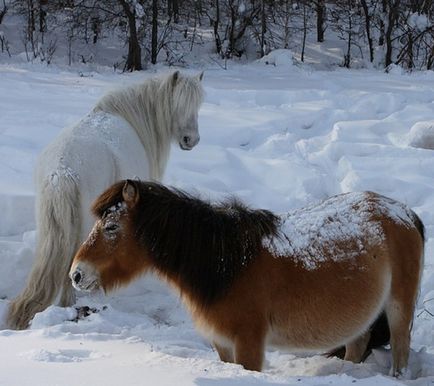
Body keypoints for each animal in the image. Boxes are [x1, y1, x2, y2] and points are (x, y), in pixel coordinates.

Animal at [69, 181, 426, 376]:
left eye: (111, 227)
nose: (76, 274)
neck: (227, 264)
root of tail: (406, 213)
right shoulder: (223, 343)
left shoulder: (249, 343)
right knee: (358, 343)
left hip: (399, 306)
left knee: (400, 349)